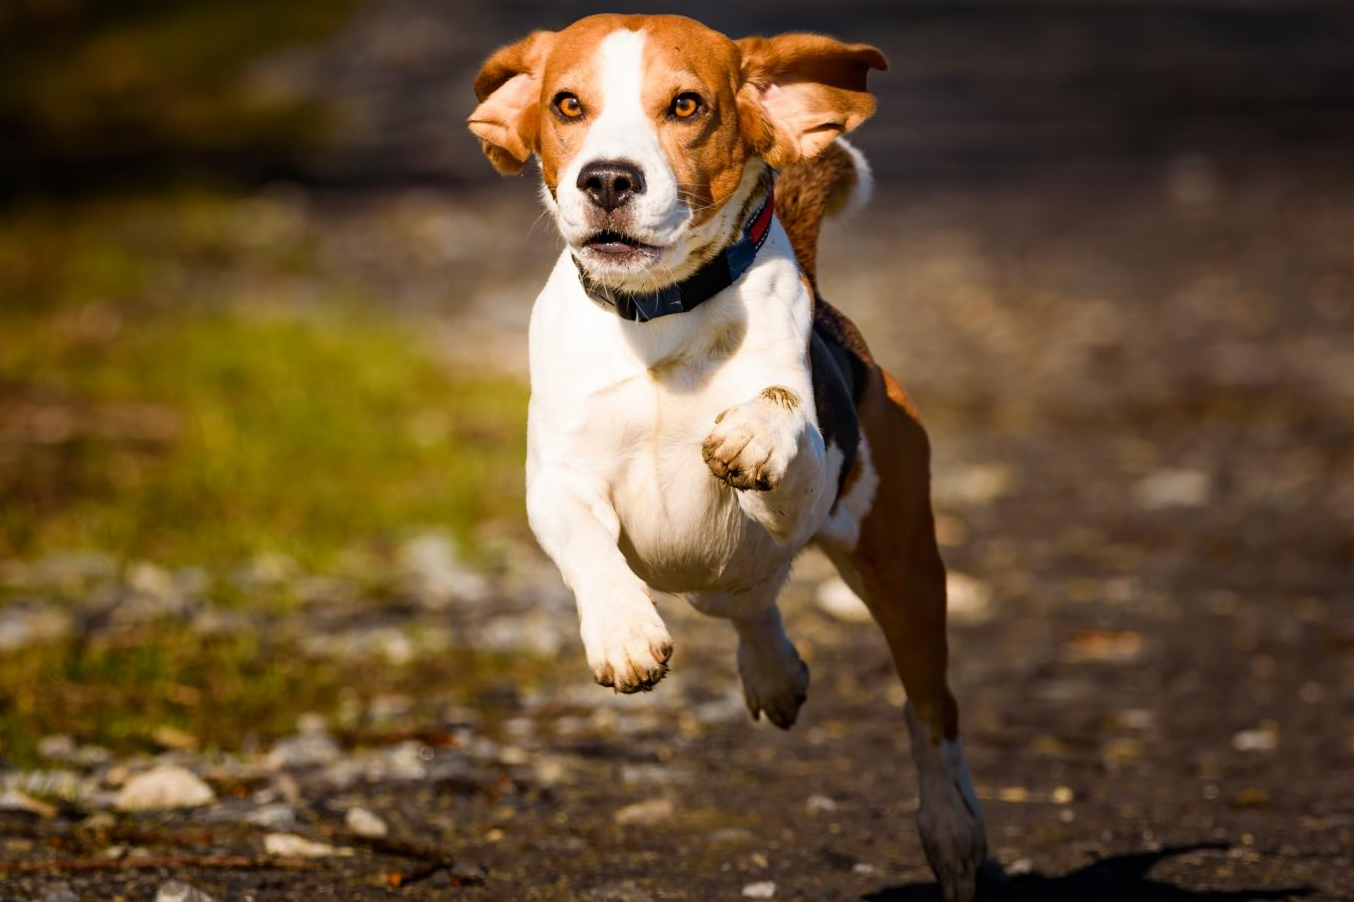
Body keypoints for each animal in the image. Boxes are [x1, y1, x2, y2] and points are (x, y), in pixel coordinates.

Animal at [471, 14, 991, 899]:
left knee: (932, 713)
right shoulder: (558, 483)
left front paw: (752, 428)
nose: (607, 180)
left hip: (904, 570)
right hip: (710, 578)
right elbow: (588, 549)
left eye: (686, 105)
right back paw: (775, 673)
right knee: (750, 604)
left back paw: (953, 829)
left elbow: (777, 416)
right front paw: (622, 633)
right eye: (566, 104)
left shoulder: (806, 484)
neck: (657, 315)